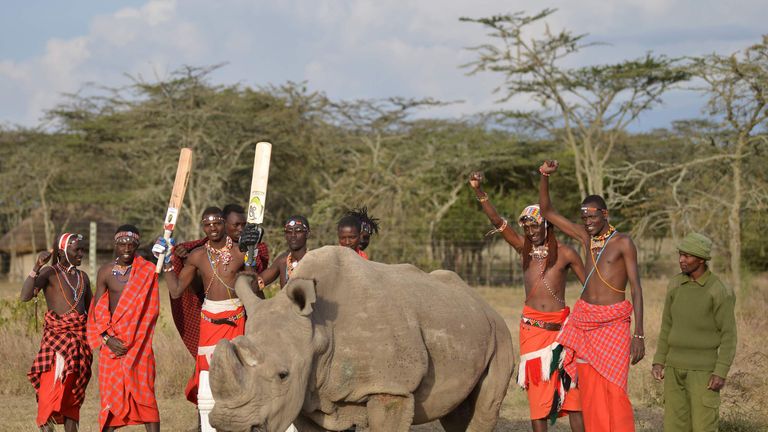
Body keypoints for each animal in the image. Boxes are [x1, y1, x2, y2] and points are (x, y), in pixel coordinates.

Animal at [207, 246, 512, 432]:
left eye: (283, 375)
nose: (228, 425)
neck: (319, 330)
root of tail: (481, 301)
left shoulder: (390, 386)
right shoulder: (307, 396)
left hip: (500, 332)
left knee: (485, 407)